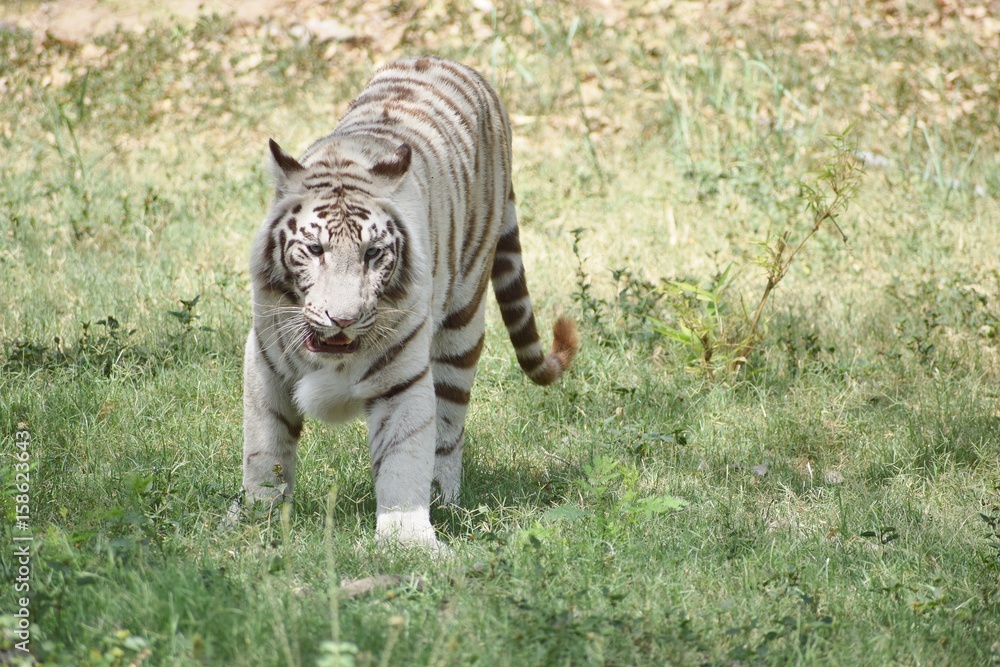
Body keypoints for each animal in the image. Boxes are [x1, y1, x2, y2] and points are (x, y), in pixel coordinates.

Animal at [235, 56, 579, 550]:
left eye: (373, 253)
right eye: (315, 250)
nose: (343, 319)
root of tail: (457, 64)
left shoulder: (402, 378)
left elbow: (403, 459)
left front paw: (408, 541)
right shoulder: (264, 360)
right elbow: (266, 448)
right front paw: (256, 519)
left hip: (463, 322)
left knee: (448, 426)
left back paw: (442, 496)